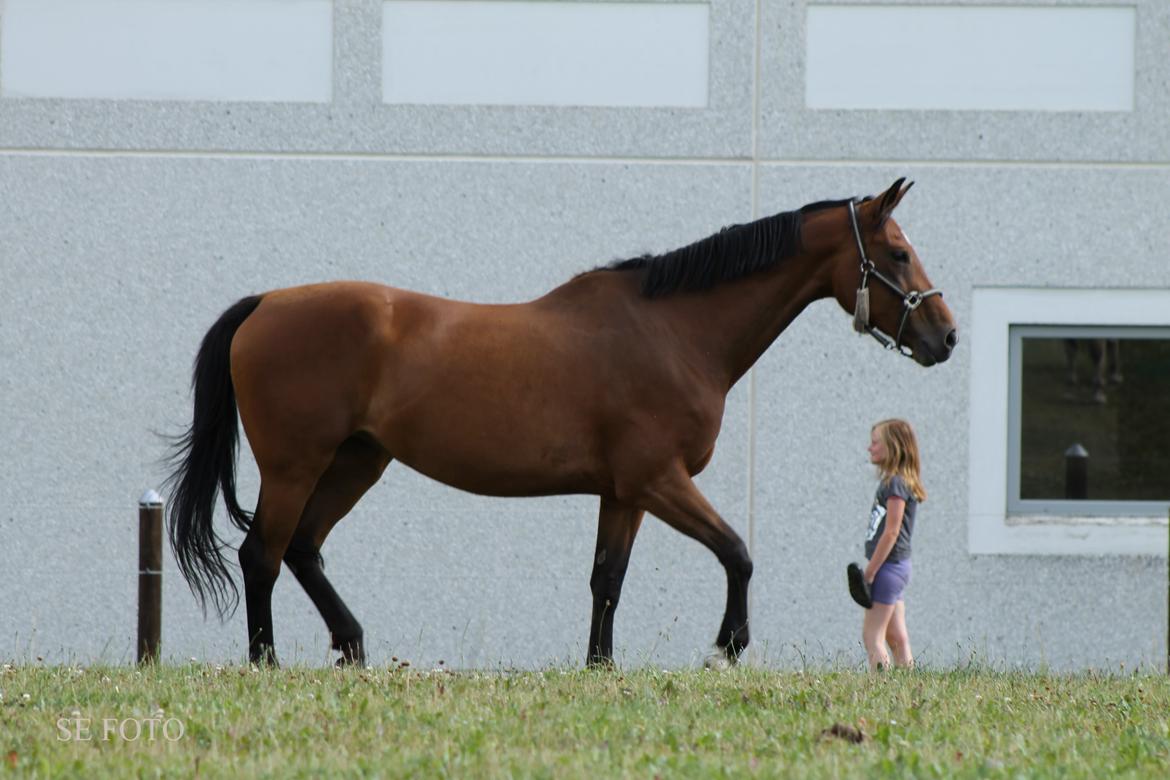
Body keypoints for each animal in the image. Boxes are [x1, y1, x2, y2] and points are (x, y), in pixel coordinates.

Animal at [167, 180, 959, 668]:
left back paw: (353, 646)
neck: (674, 331)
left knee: (302, 549)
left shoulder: (624, 492)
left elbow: (607, 577)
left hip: (357, 460)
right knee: (262, 555)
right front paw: (727, 645)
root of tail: (266, 303)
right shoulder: (659, 480)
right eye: (896, 252)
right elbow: (737, 552)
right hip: (297, 465)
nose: (946, 337)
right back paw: (267, 662)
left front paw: (599, 664)